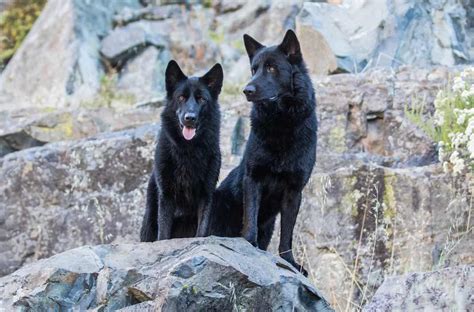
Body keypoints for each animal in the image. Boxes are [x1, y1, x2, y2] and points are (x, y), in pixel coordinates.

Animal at [140, 60, 223, 241]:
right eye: (181, 98)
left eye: (201, 99)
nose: (190, 118)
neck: (188, 150)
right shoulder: (166, 197)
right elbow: (163, 233)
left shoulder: (206, 194)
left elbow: (201, 231)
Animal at [209, 29, 316, 276]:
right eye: (253, 69)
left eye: (272, 68)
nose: (247, 90)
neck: (282, 125)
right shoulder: (253, 178)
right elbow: (250, 218)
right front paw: (249, 246)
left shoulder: (294, 191)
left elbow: (287, 235)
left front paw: (291, 263)